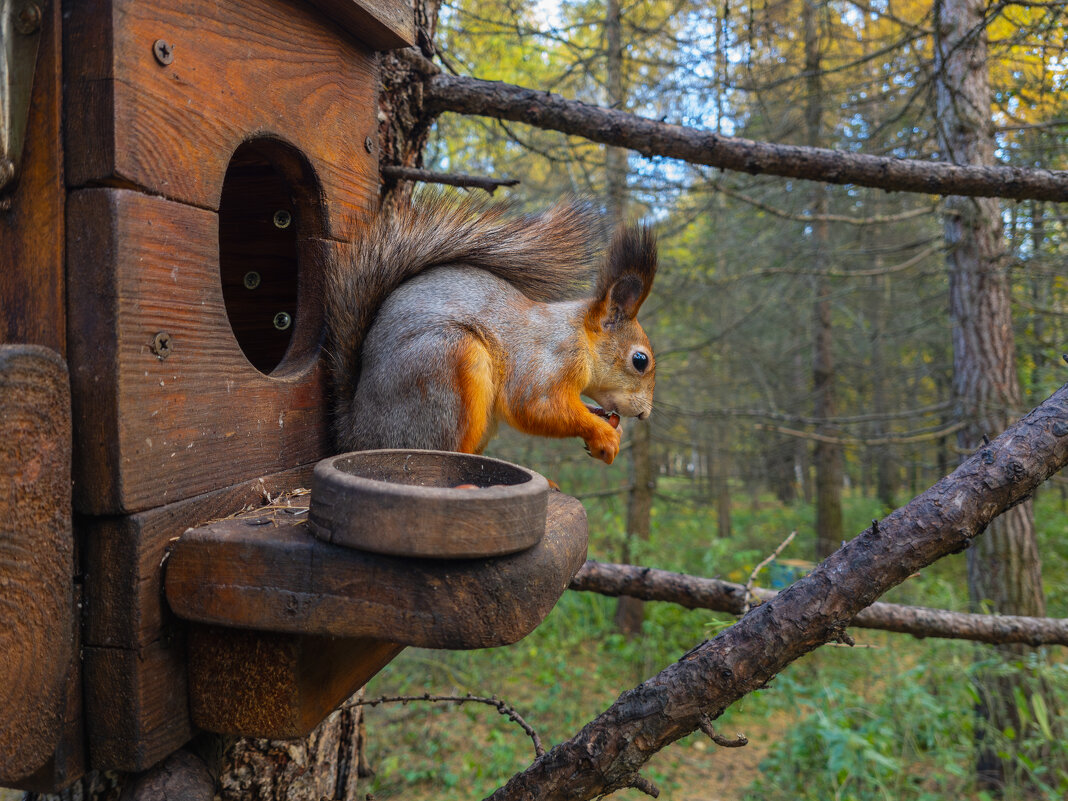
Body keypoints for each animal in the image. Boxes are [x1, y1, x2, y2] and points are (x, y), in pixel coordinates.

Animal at [324, 193, 657, 463]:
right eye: (640, 360)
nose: (645, 414)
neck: (581, 336)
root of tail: (358, 432)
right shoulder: (550, 359)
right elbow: (534, 406)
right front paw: (603, 434)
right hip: (447, 366)